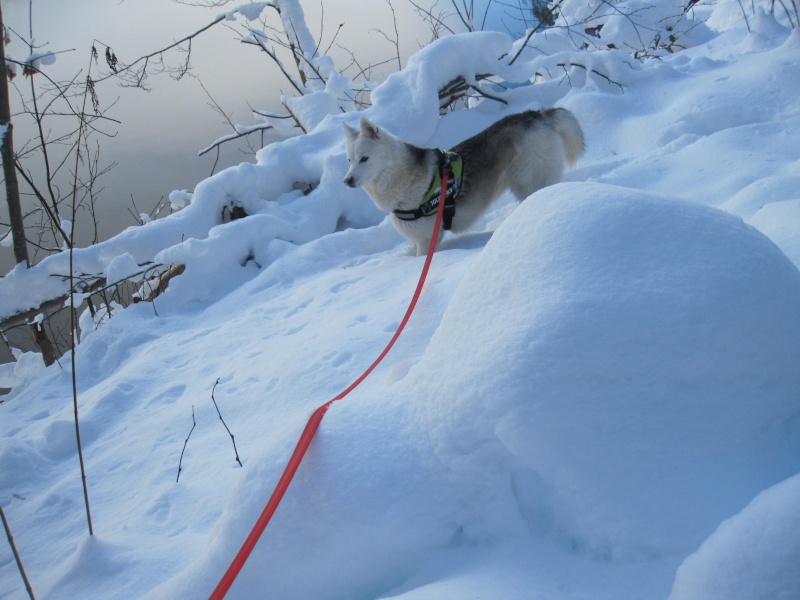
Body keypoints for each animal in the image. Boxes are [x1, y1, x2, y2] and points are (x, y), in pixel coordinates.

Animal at [342, 109, 580, 254]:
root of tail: (537, 114)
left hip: (528, 181)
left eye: (364, 158)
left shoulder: (427, 240)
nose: (347, 180)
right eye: (349, 160)